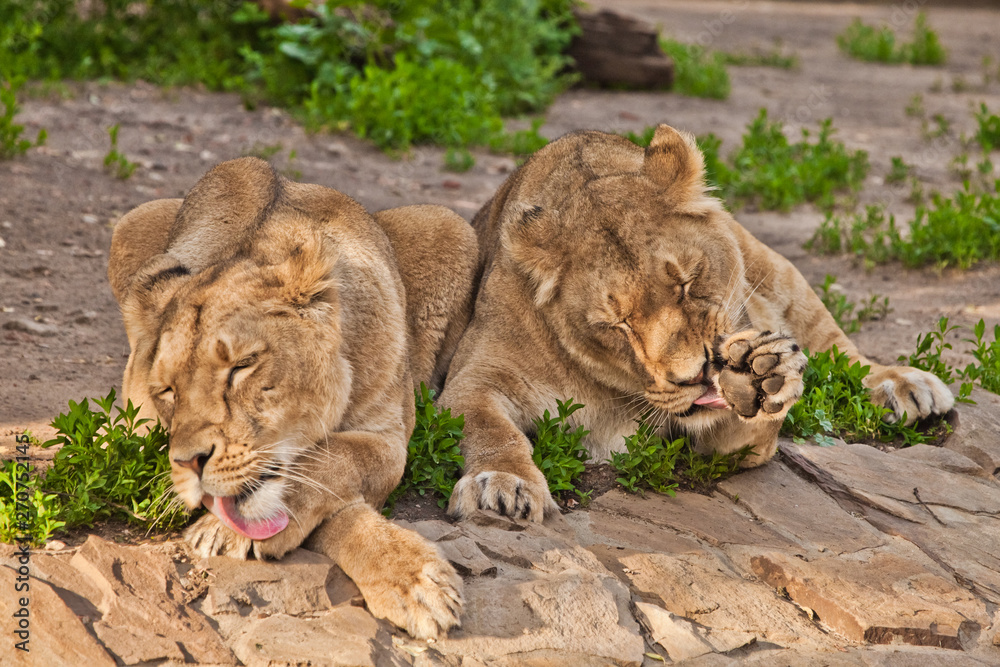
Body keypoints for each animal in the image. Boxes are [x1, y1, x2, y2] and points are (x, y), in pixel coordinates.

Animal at [108, 157, 477, 639]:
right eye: (167, 391)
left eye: (242, 365)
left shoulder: (388, 438)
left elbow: (330, 462)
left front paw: (415, 581)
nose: (190, 463)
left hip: (448, 223)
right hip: (130, 222)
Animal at [441, 125, 955, 522]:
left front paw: (757, 381)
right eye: (619, 324)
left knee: (835, 341)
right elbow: (492, 431)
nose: (700, 374)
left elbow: (754, 425)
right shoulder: (472, 379)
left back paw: (903, 385)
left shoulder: (729, 445)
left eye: (687, 283)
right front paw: (502, 484)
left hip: (774, 266)